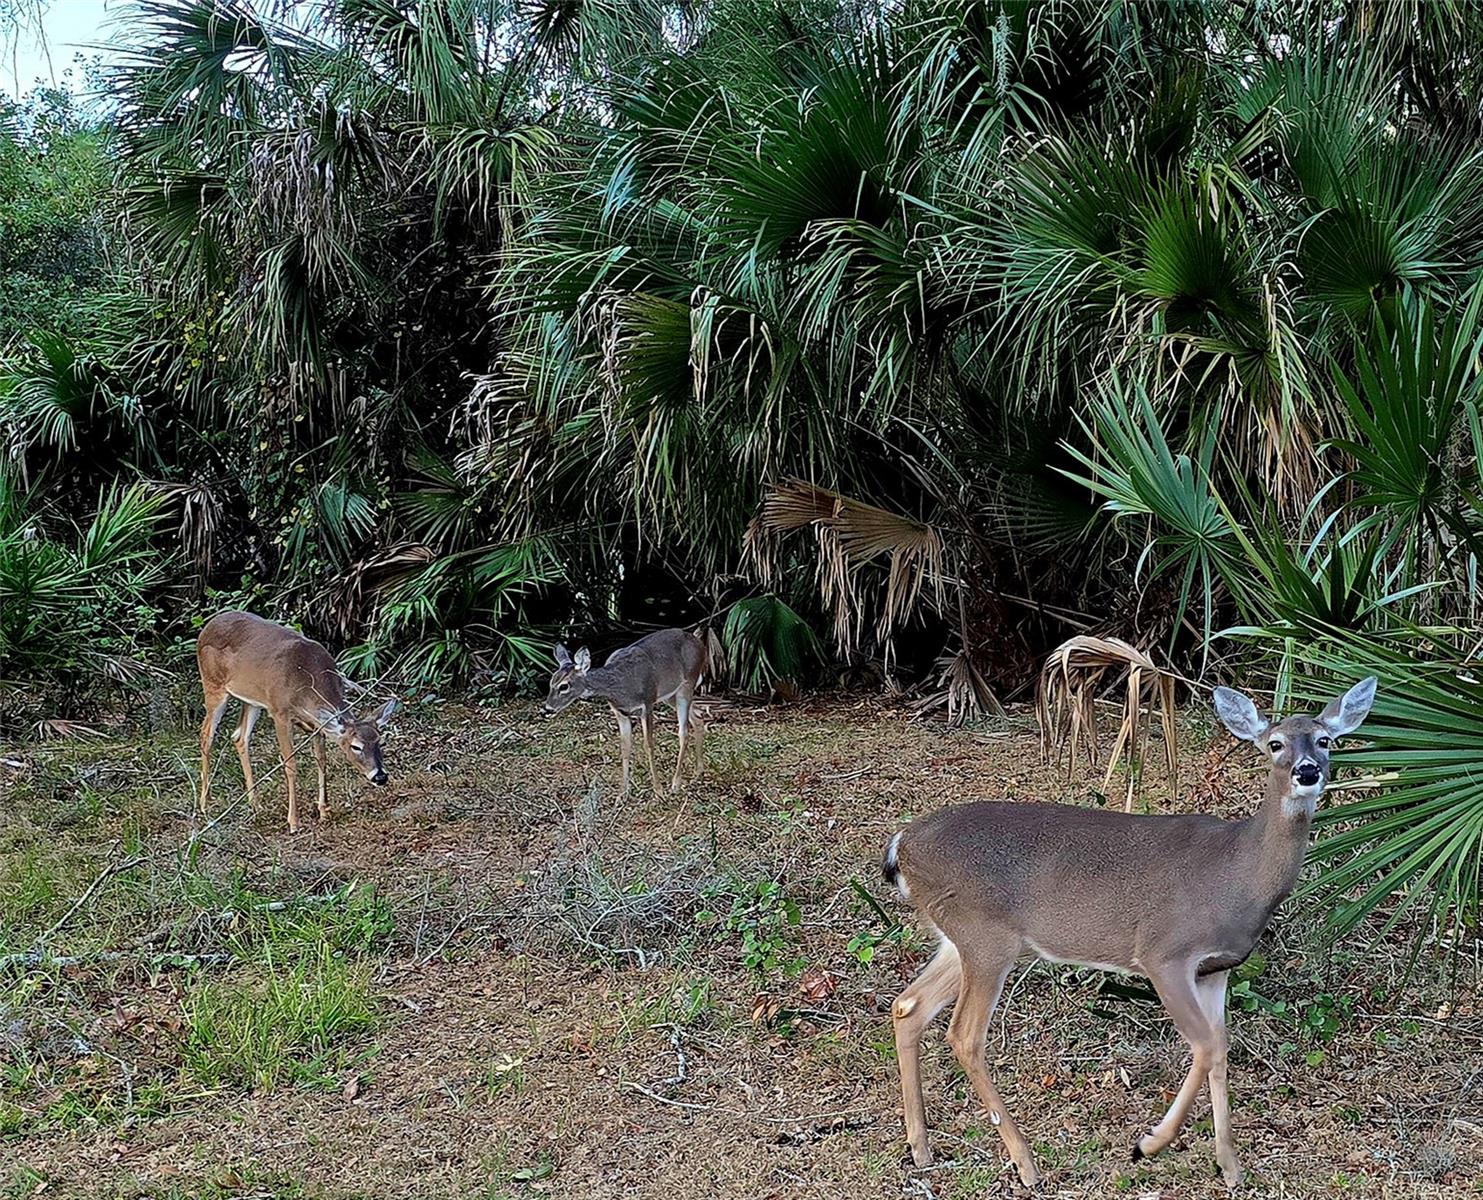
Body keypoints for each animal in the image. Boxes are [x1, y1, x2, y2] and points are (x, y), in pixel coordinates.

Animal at [203, 608, 403, 830]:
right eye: (356, 746)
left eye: (380, 742)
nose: (380, 776)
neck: (307, 680)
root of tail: (208, 625)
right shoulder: (279, 712)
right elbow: (290, 764)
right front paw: (293, 821)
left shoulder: (316, 722)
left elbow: (321, 759)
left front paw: (323, 811)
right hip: (213, 686)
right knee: (206, 735)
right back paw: (204, 805)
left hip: (252, 700)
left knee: (239, 737)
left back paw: (255, 804)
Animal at [545, 625, 705, 795]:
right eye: (551, 682)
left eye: (564, 686)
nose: (547, 709)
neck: (622, 685)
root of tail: (699, 642)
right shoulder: (620, 712)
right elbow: (625, 747)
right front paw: (622, 793)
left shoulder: (647, 703)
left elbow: (649, 745)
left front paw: (658, 790)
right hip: (669, 694)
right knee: (698, 715)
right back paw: (698, 772)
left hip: (687, 684)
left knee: (683, 732)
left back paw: (676, 784)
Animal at [877, 673, 1376, 1186]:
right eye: (1274, 743)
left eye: (1325, 739)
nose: (1307, 771)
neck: (1236, 874)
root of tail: (902, 844)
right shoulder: (1164, 952)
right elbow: (1203, 1045)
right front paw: (1151, 1143)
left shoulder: (1217, 969)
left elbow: (1219, 1049)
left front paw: (1230, 1166)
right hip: (985, 936)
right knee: (964, 1035)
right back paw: (1026, 1162)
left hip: (960, 939)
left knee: (907, 1005)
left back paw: (921, 1149)